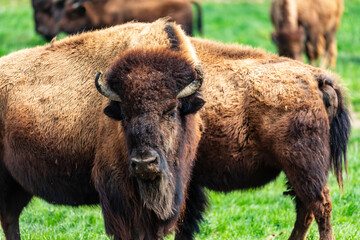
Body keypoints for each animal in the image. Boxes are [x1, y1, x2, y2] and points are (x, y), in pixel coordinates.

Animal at [0, 20, 205, 240]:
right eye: (124, 114)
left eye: (171, 111)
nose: (145, 163)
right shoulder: (118, 194)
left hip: (17, 184)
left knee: (10, 216)